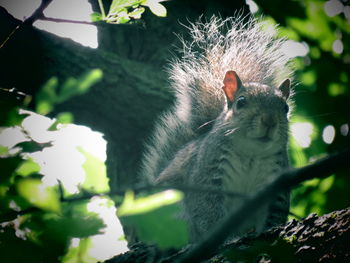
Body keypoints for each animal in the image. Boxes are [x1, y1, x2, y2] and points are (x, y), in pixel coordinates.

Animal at [139, 16, 292, 243]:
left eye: (285, 108)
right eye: (241, 102)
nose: (269, 121)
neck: (251, 154)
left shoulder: (275, 183)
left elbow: (273, 214)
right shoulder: (207, 173)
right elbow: (208, 211)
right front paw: (225, 239)